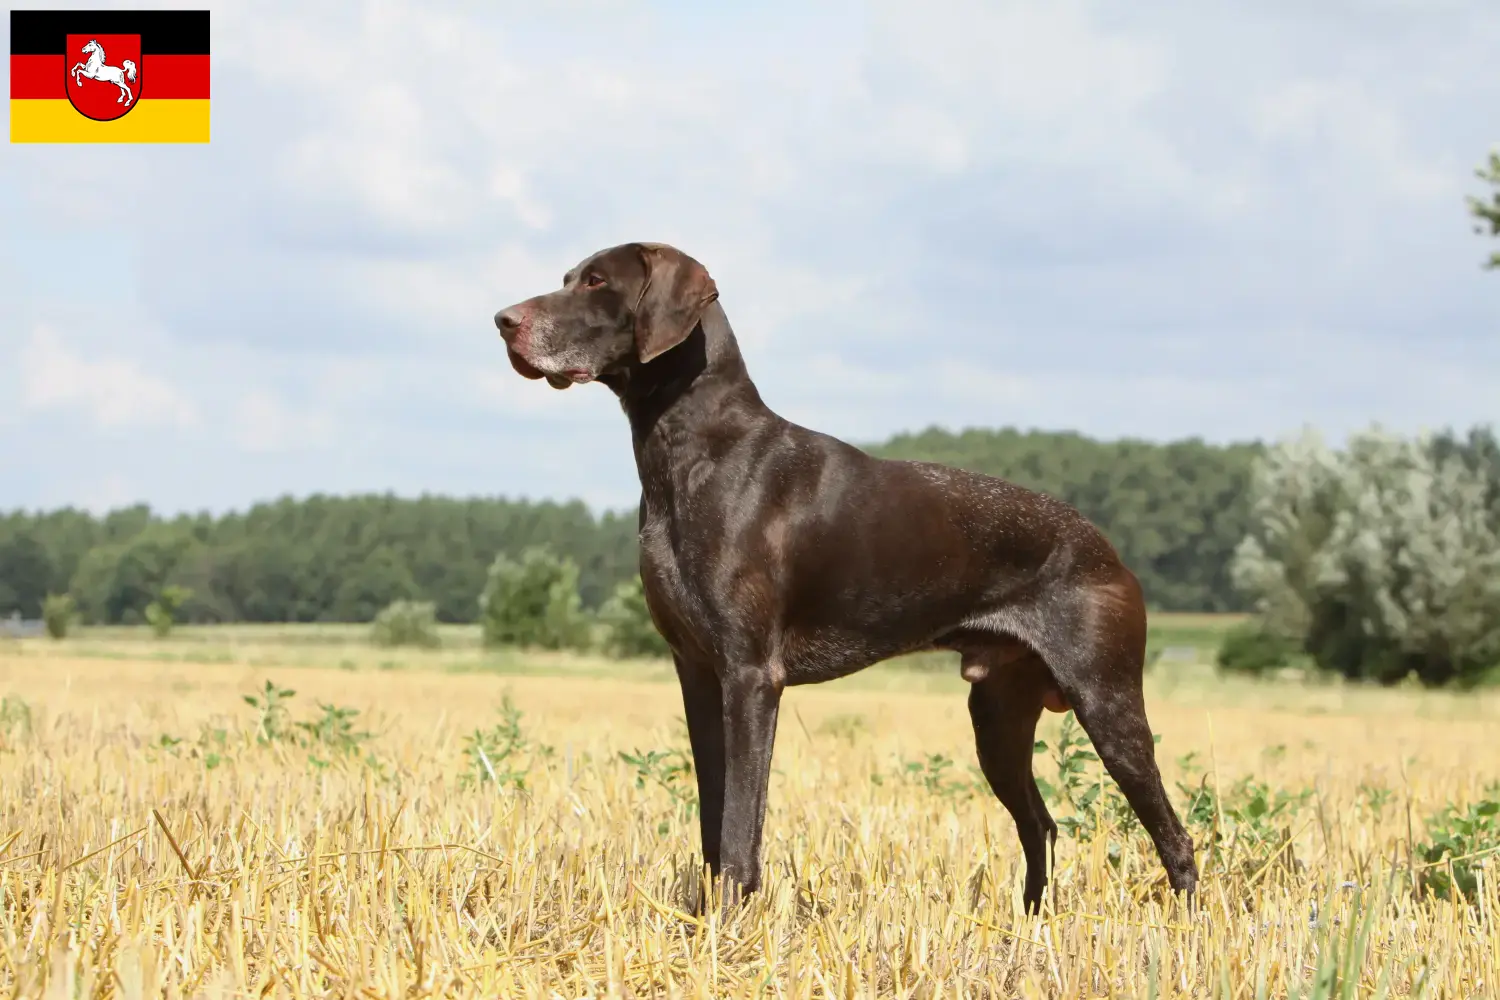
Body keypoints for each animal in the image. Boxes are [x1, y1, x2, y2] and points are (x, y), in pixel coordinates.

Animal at [498, 244, 1200, 917]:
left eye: (597, 282)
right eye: (568, 276)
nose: (503, 320)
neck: (689, 453)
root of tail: (1107, 548)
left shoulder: (751, 676)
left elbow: (740, 824)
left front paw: (729, 922)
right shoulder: (697, 672)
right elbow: (712, 817)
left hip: (1107, 703)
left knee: (1174, 835)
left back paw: (1186, 929)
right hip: (998, 717)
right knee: (1042, 826)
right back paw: (1029, 926)